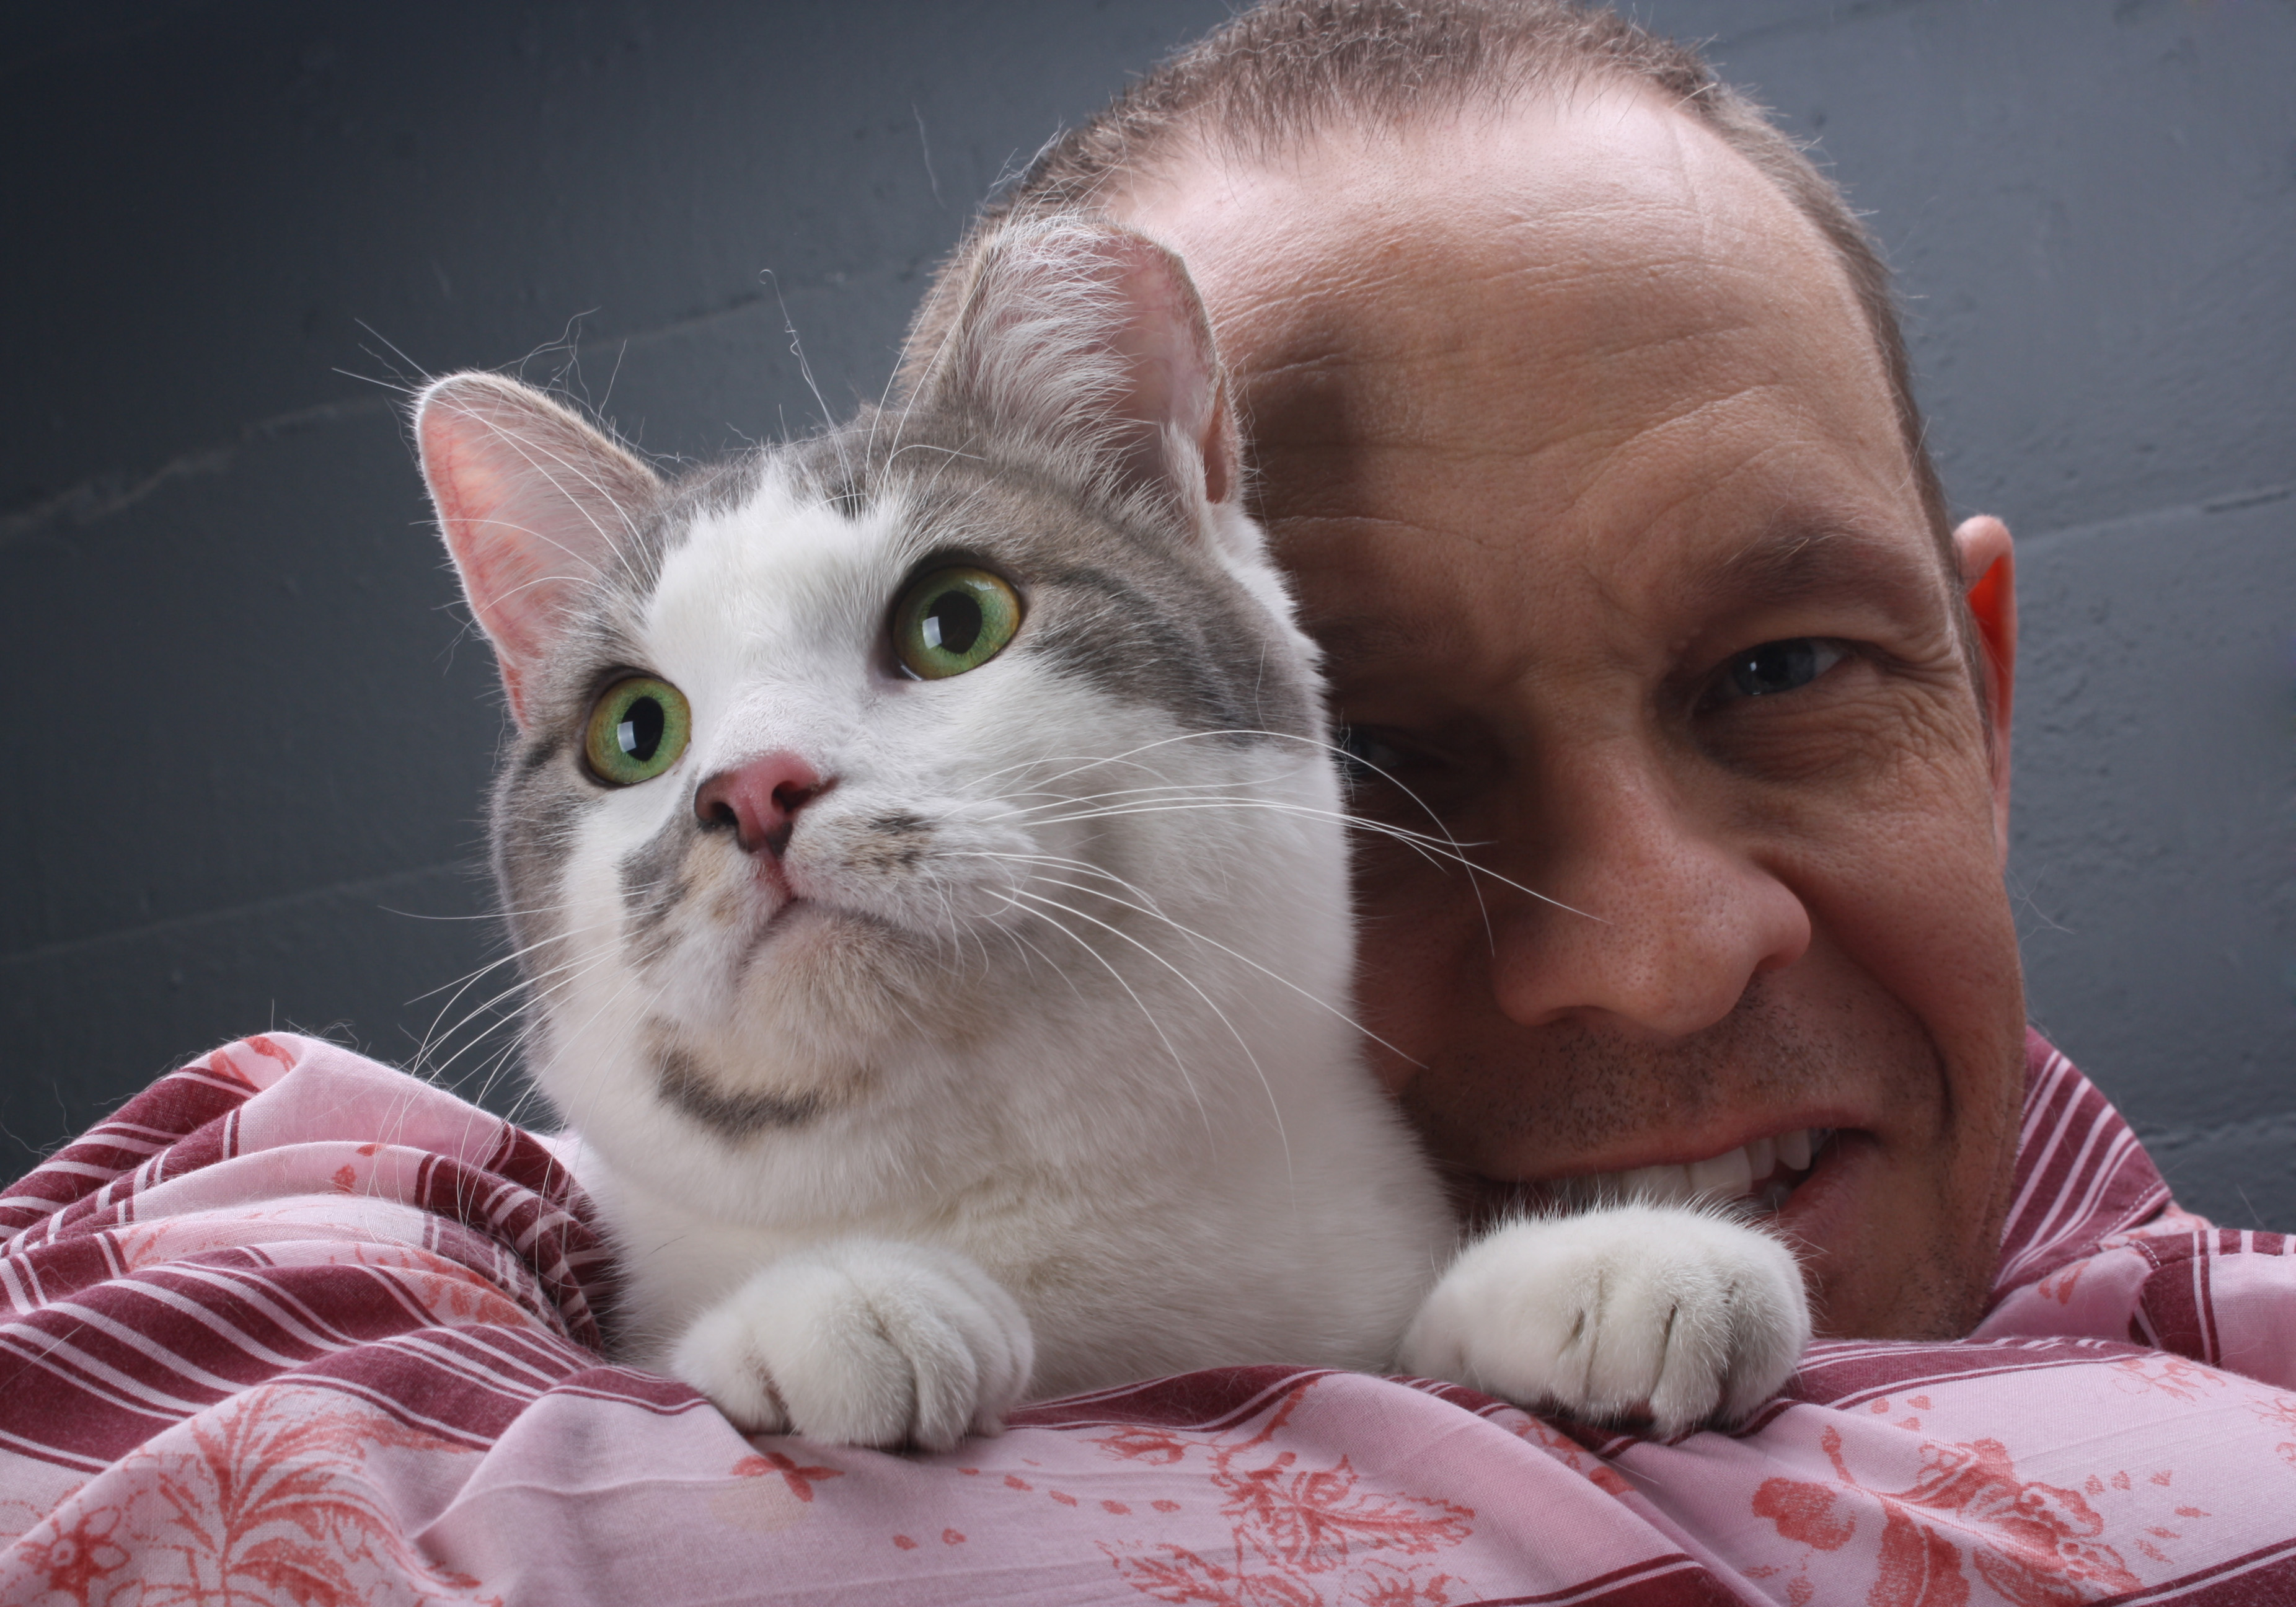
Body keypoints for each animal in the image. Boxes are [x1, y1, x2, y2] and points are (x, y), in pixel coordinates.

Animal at [413, 216, 1809, 1460]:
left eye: (954, 620)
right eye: (634, 730)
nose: (752, 788)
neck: (1030, 1195)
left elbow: (1395, 1351)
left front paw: (1613, 1263)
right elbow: (650, 1371)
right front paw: (834, 1301)